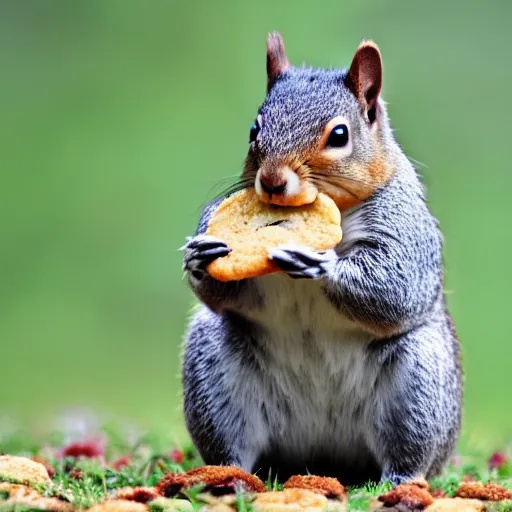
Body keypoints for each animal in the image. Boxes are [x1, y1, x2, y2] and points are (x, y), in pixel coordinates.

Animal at [181, 34, 464, 486]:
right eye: (254, 129)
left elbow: (396, 287)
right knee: (234, 443)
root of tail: (324, 457)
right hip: (214, 374)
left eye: (339, 135)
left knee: (409, 452)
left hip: (418, 389)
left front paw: (322, 264)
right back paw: (227, 475)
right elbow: (226, 294)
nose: (272, 181)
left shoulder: (405, 228)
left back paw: (399, 481)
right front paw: (198, 255)